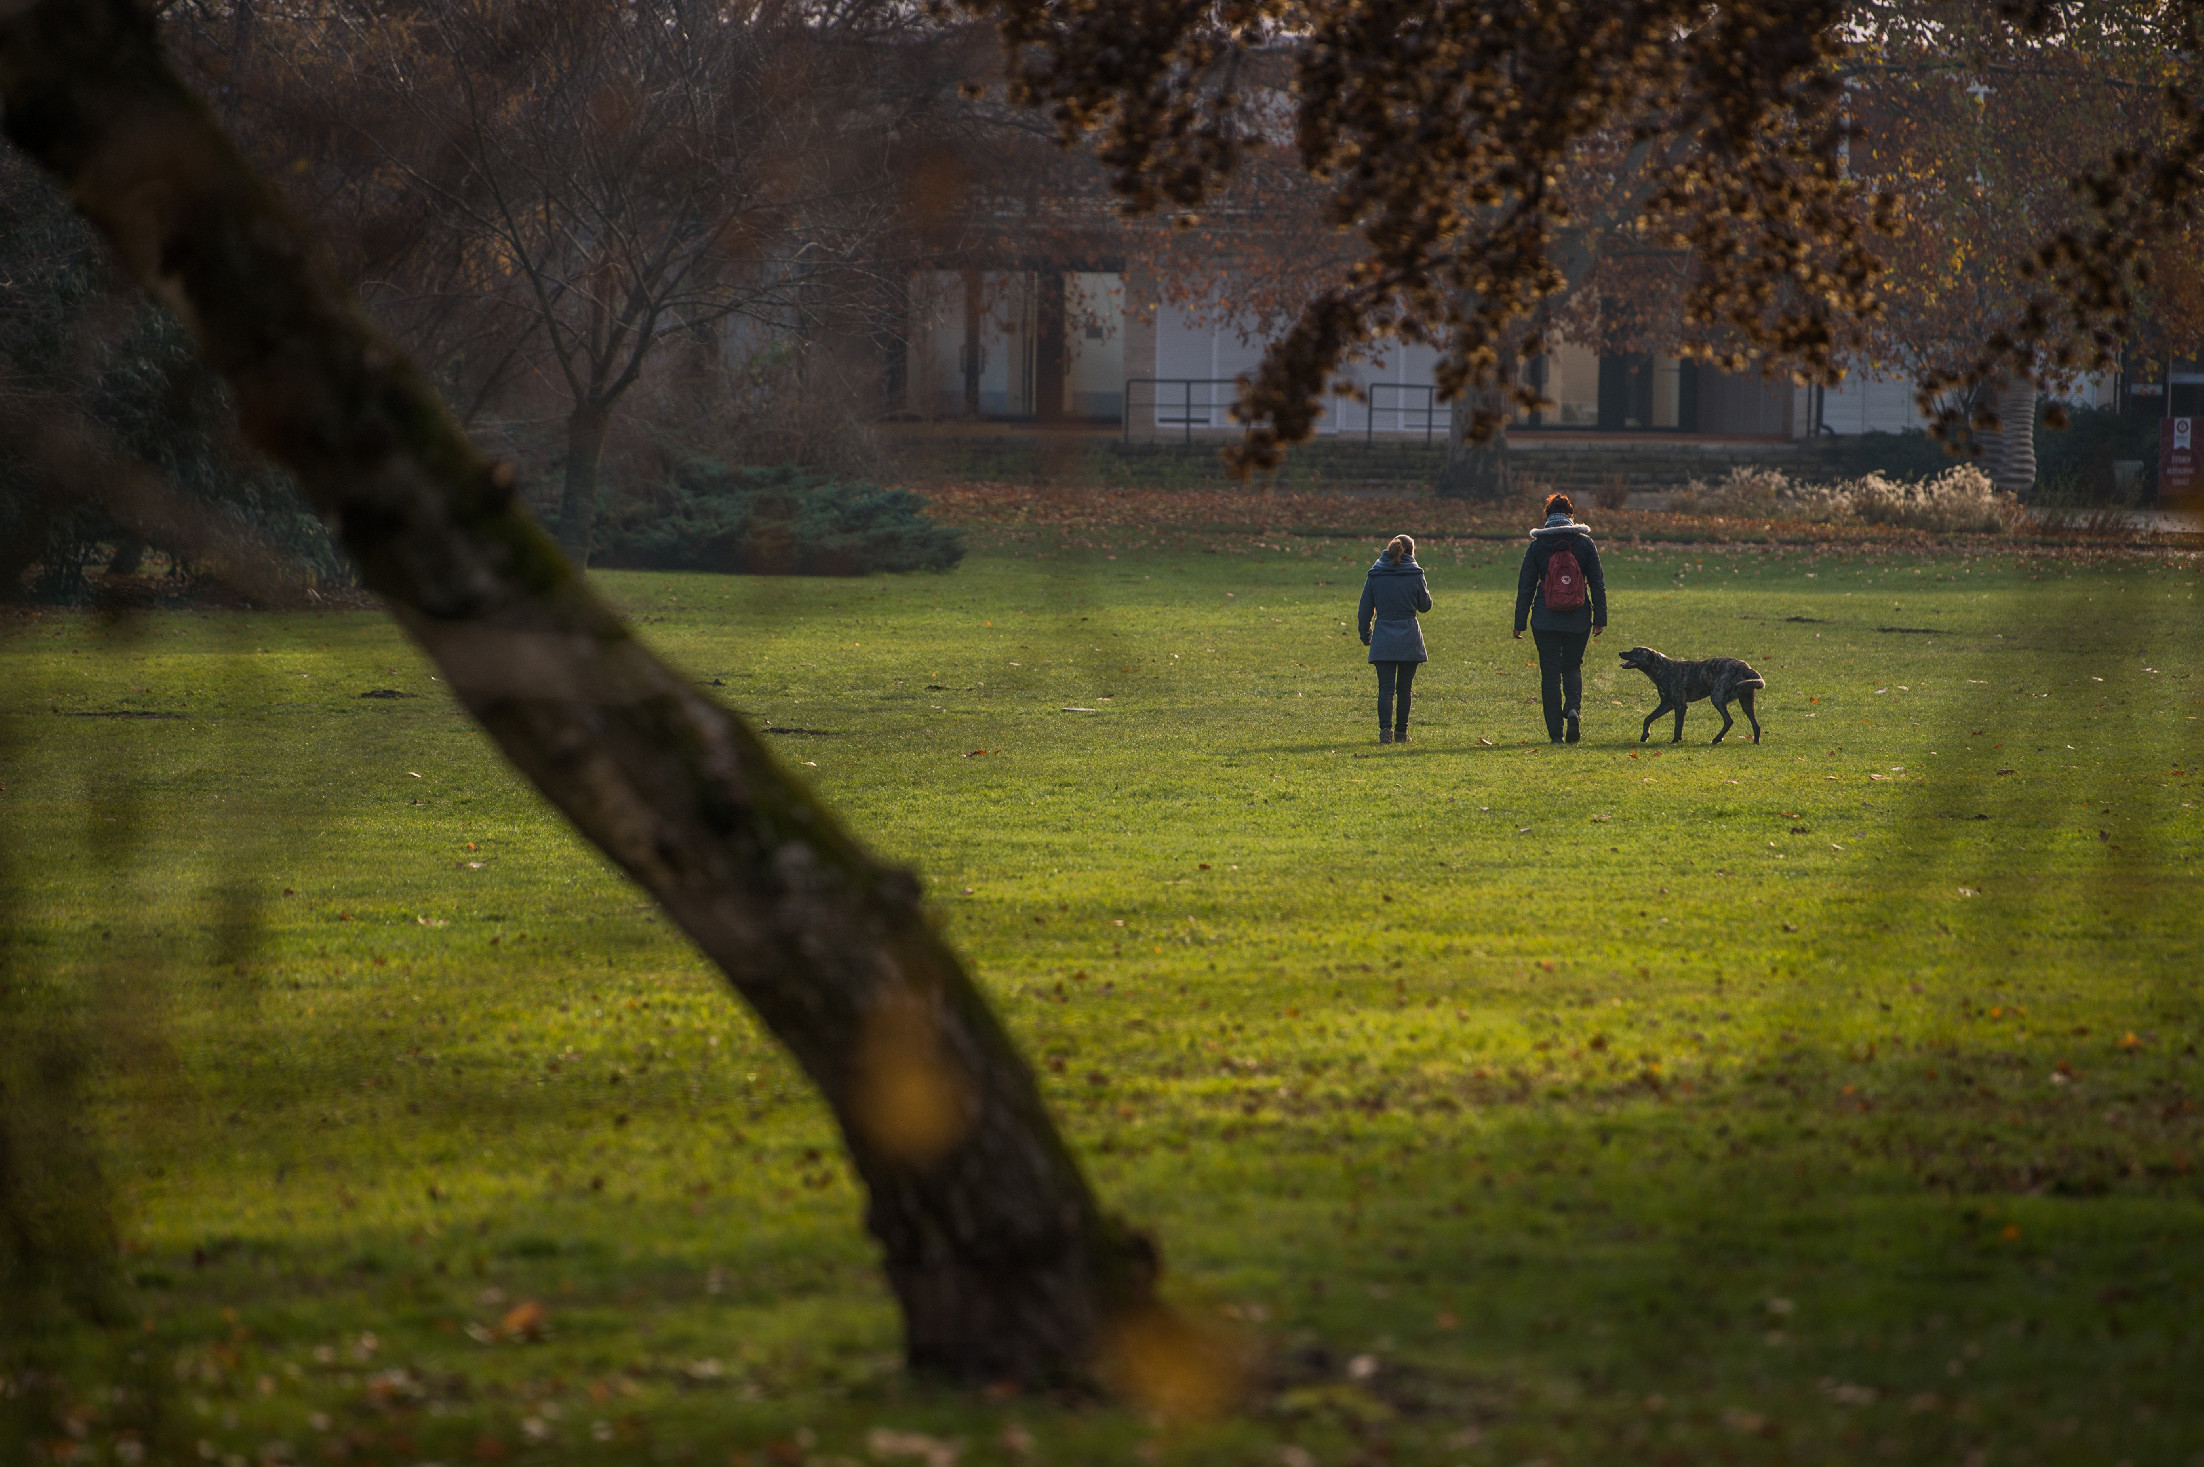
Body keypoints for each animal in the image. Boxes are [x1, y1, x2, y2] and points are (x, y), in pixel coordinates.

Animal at [1622, 647, 1772, 744]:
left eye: (1635, 652)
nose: (1620, 652)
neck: (1663, 668)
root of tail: (1746, 667)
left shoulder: (1680, 705)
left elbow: (1677, 726)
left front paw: (1675, 741)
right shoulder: (1667, 704)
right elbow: (1648, 718)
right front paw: (1645, 735)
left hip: (1717, 697)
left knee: (1729, 720)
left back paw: (1716, 739)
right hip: (1746, 702)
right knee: (1756, 725)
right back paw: (1755, 742)